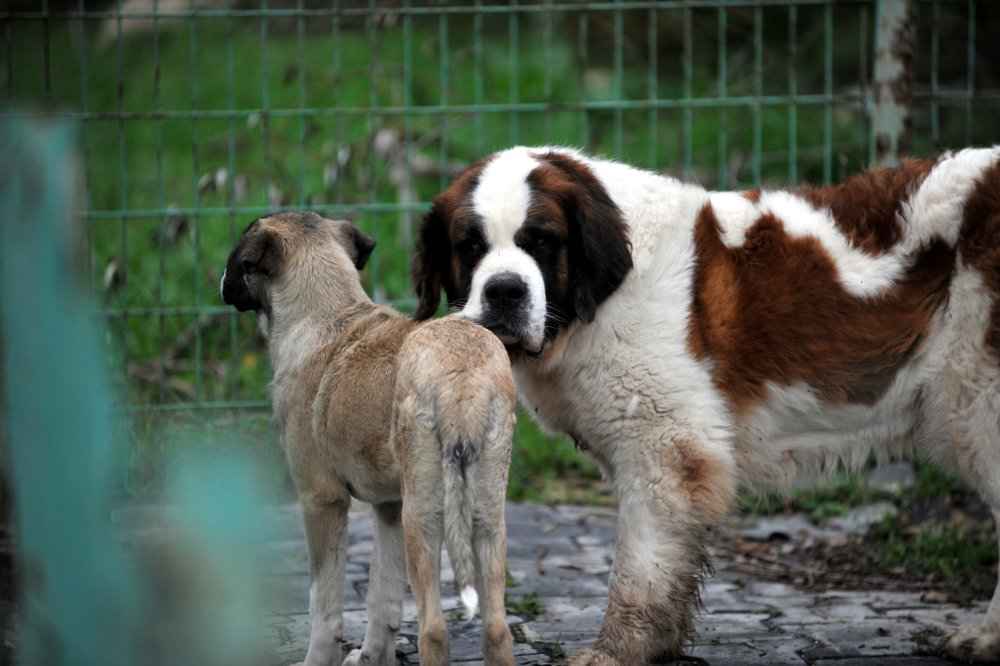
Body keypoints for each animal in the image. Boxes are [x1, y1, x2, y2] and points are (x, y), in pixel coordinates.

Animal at [220, 211, 516, 664]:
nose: (221, 281)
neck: (328, 318)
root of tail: (462, 377)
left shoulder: (321, 501)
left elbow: (323, 604)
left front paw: (317, 659)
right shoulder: (388, 506)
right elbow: (383, 598)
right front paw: (372, 656)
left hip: (424, 518)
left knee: (434, 632)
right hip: (486, 516)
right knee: (497, 630)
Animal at [410, 147, 1000, 664]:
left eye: (541, 241)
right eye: (470, 246)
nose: (504, 291)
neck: (601, 300)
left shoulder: (665, 450)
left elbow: (638, 569)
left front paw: (616, 652)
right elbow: (670, 564)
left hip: (977, 409)